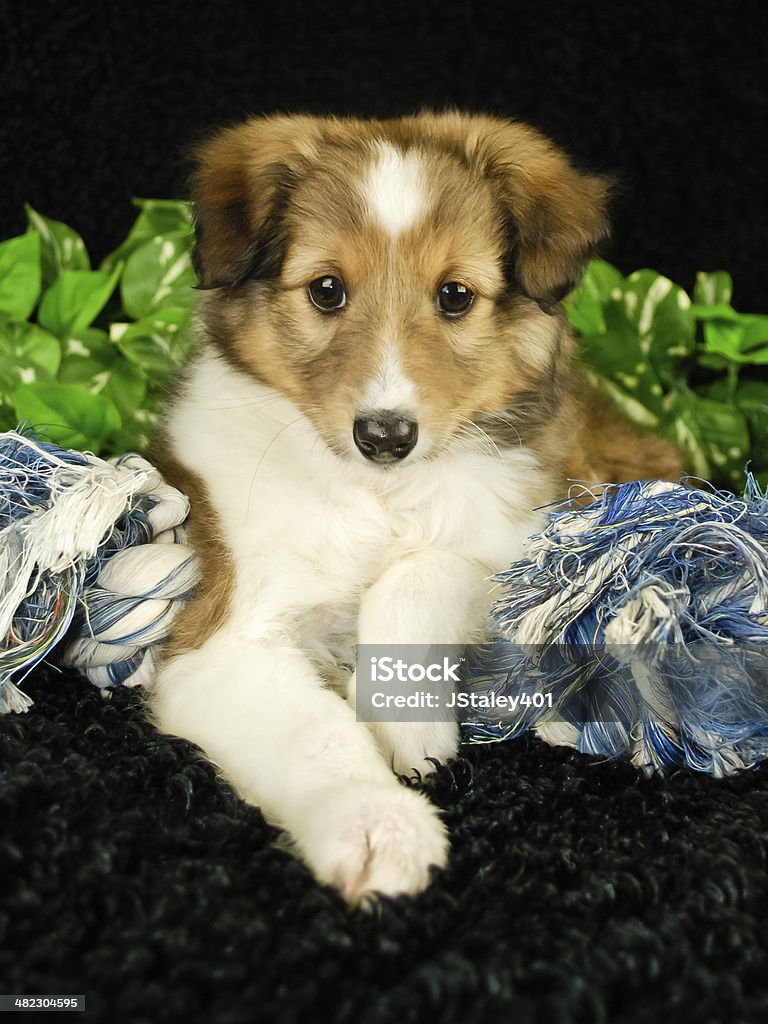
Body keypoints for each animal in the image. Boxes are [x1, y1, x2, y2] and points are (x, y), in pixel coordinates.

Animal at [148, 110, 679, 905]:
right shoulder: (224, 637)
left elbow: (425, 573)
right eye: (327, 290)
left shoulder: (532, 536)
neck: (377, 494)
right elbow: (315, 735)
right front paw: (380, 828)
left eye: (454, 296)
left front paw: (406, 721)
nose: (386, 436)